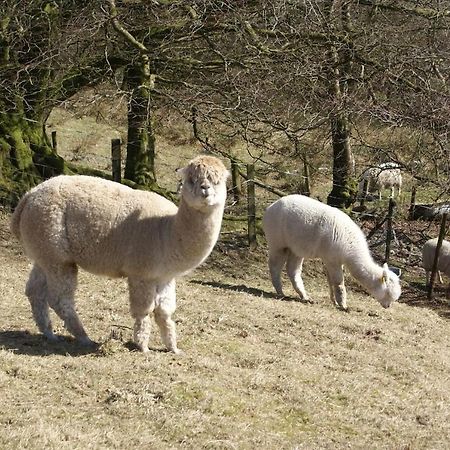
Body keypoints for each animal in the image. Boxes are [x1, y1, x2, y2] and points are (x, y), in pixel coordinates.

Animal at [11, 156, 229, 354]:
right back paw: (84, 337)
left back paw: (49, 334)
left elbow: (164, 313)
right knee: (60, 299)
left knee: (34, 290)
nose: (205, 188)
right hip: (57, 253)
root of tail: (28, 196)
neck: (167, 231)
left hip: (44, 252)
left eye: (217, 180)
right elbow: (144, 311)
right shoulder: (142, 273)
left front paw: (173, 348)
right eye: (192, 179)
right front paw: (143, 347)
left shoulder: (165, 277)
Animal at [262, 195, 402, 312]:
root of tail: (269, 208)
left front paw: (334, 301)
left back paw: (305, 296)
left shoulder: (332, 259)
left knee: (292, 270)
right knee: (274, 266)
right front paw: (343, 305)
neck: (350, 246)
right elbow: (339, 283)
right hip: (278, 242)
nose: (387, 306)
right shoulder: (332, 259)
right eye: (388, 293)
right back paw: (280, 292)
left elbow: (330, 281)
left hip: (296, 248)